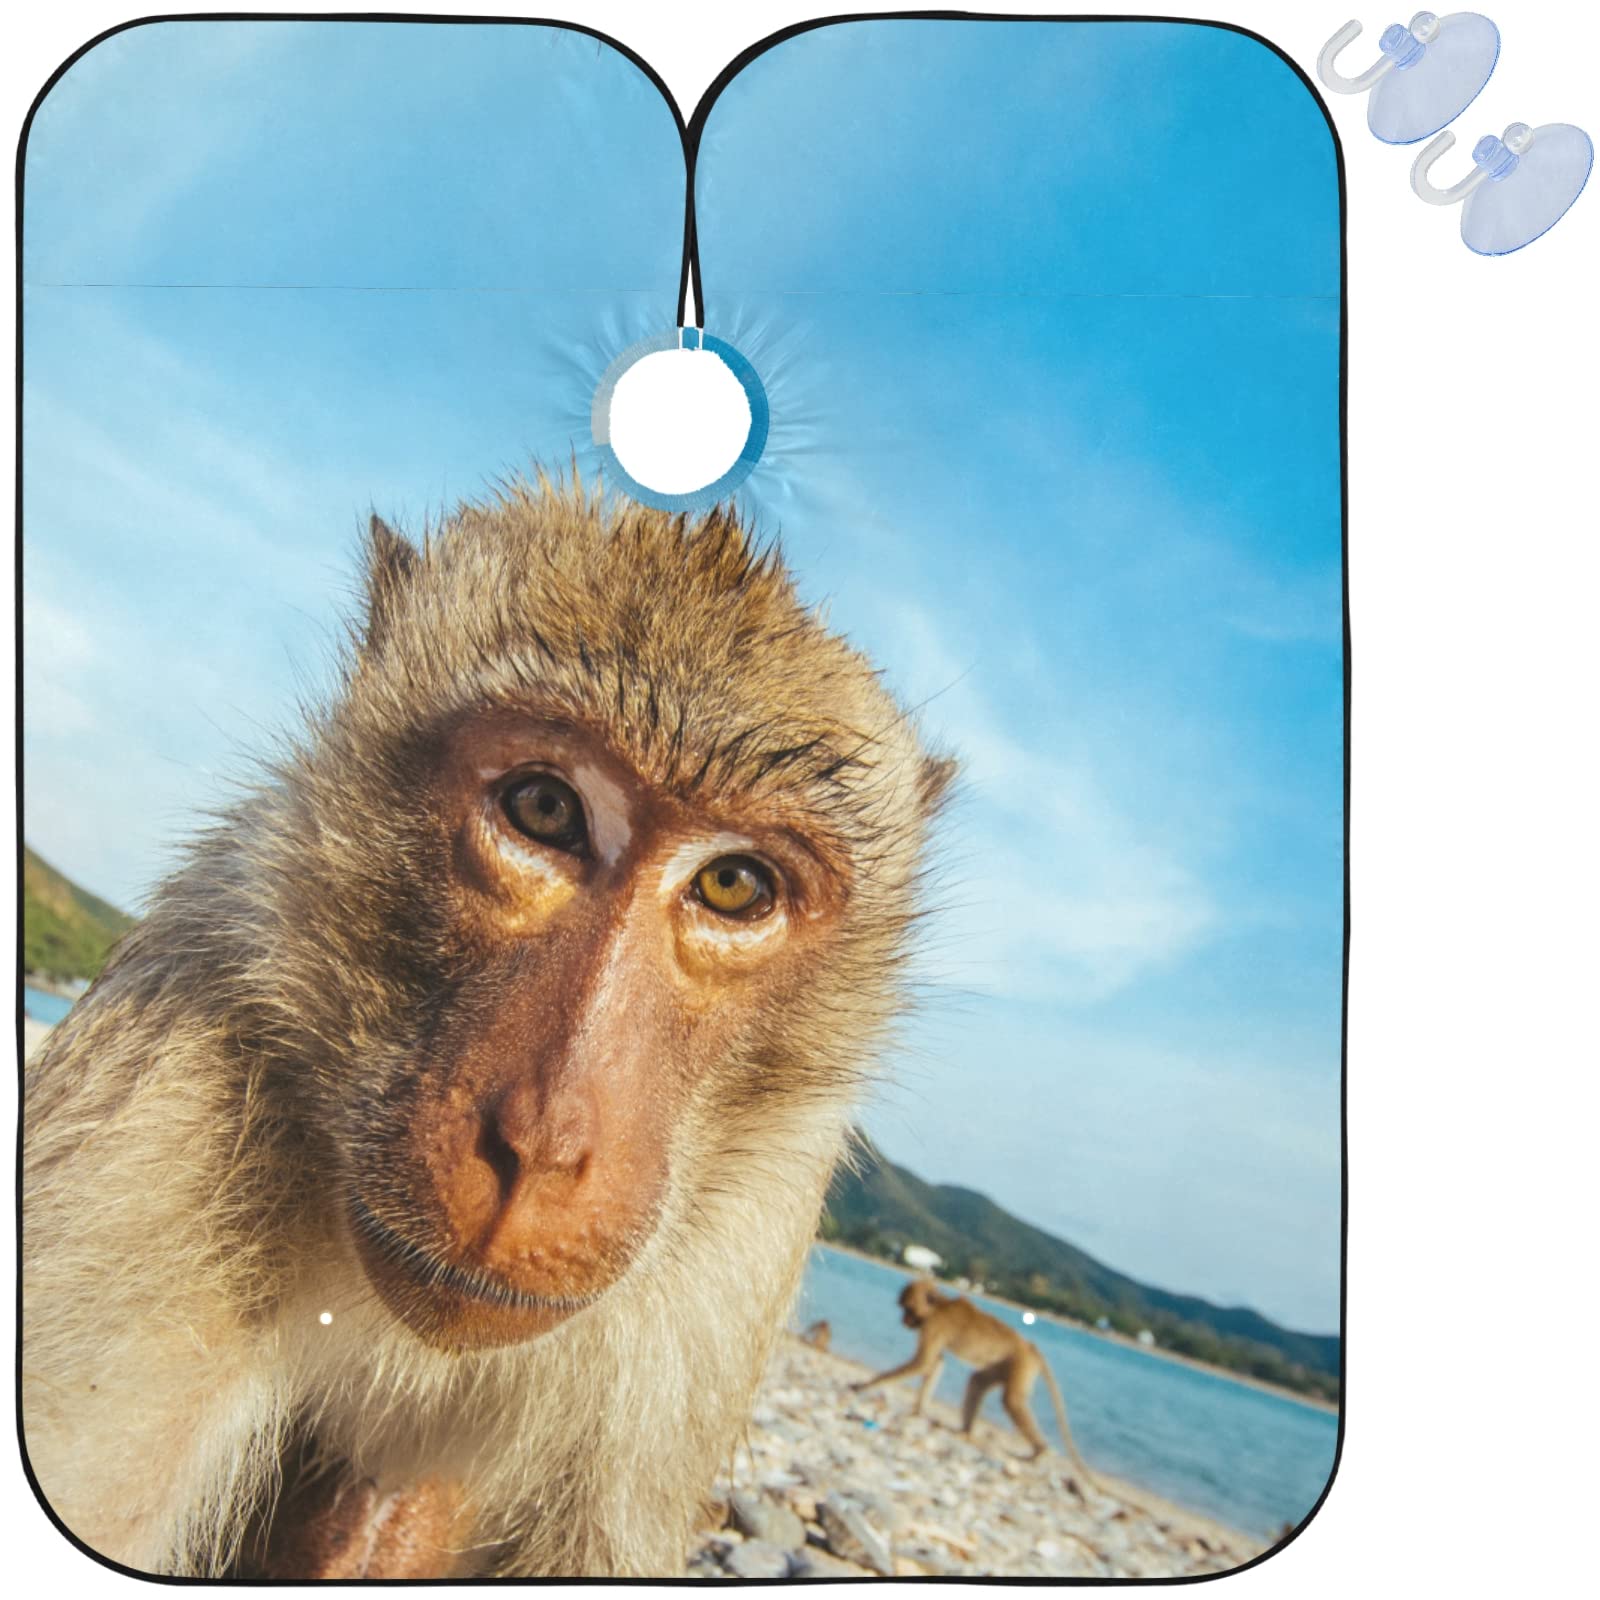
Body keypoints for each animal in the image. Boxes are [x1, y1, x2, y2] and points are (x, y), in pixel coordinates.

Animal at [851, 1281, 1098, 1487]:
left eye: (908, 1309)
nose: (904, 1320)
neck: (939, 1306)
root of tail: (1029, 1347)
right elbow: (935, 1364)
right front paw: (917, 1411)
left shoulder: (934, 1325)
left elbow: (924, 1363)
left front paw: (865, 1386)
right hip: (1003, 1365)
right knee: (978, 1382)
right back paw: (966, 1432)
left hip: (1021, 1364)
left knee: (1012, 1401)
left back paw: (1039, 1451)